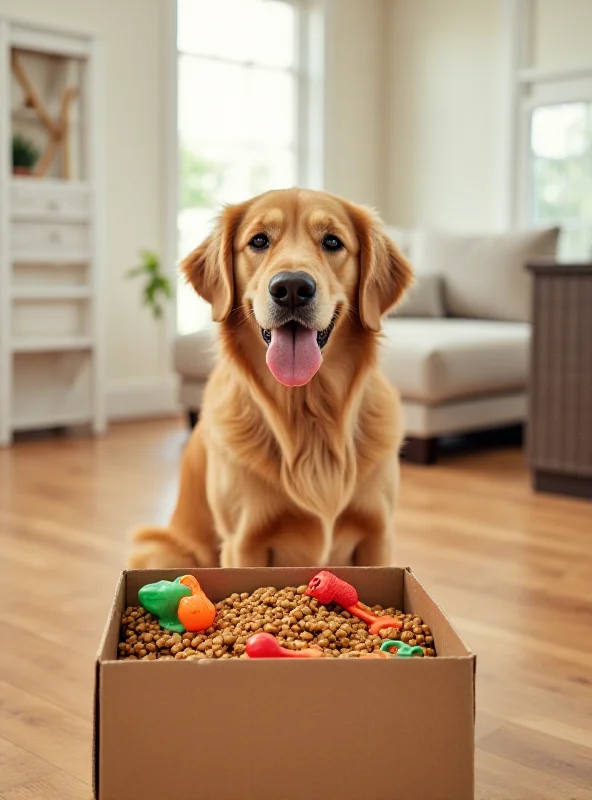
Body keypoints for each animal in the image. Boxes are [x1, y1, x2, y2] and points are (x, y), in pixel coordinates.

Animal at [130, 188, 412, 568]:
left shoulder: (377, 535)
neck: (307, 411)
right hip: (158, 551)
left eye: (332, 241)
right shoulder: (244, 543)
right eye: (259, 240)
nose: (292, 287)